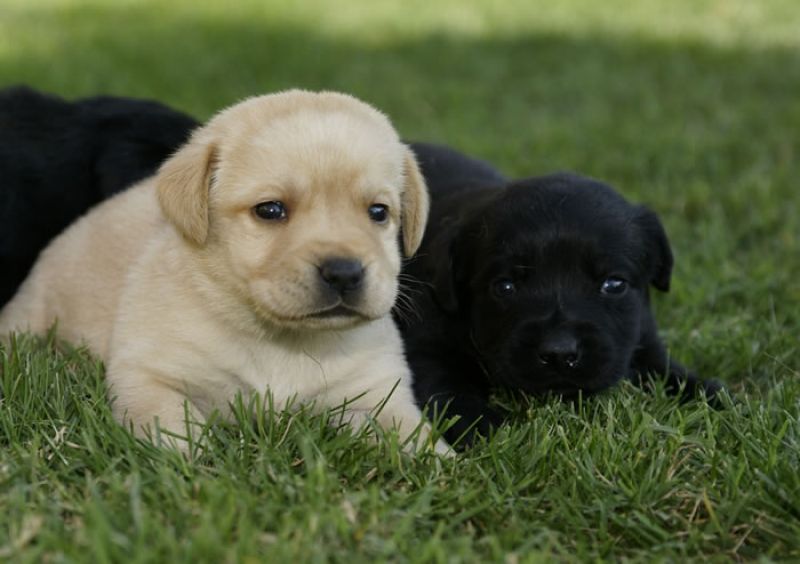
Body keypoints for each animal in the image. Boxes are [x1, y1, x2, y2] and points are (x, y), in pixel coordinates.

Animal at [404, 143, 720, 448]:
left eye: (614, 285)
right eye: (504, 287)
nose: (559, 352)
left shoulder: (642, 335)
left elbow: (666, 370)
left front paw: (711, 395)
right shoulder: (425, 345)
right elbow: (447, 389)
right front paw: (487, 427)